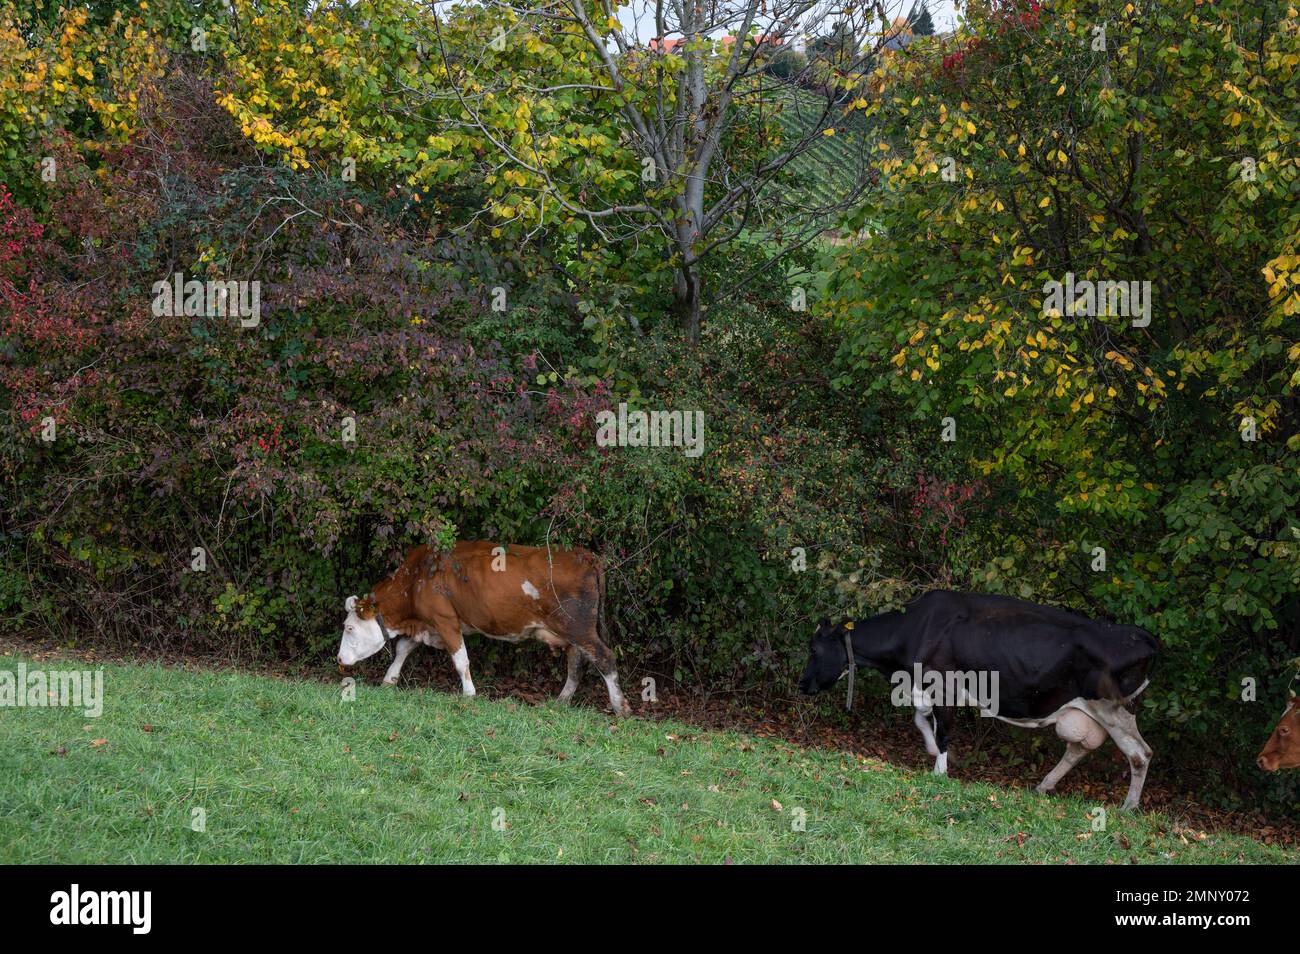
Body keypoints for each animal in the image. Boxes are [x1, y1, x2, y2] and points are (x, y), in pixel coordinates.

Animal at [335, 540, 629, 712]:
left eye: (348, 628)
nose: (338, 658)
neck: (416, 578)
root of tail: (583, 555)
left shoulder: (445, 620)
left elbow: (460, 660)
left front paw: (469, 693)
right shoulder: (426, 623)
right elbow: (403, 649)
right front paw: (389, 679)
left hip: (578, 626)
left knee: (604, 657)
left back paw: (620, 707)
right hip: (572, 631)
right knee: (576, 662)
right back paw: (562, 700)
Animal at [800, 595, 1159, 811]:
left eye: (814, 650)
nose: (802, 685)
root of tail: (1141, 635)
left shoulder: (943, 685)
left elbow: (942, 730)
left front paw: (940, 771)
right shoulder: (926, 687)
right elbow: (921, 719)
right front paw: (933, 751)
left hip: (1114, 709)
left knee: (1140, 754)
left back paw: (1128, 808)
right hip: (1086, 711)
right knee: (1079, 748)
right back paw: (1044, 786)